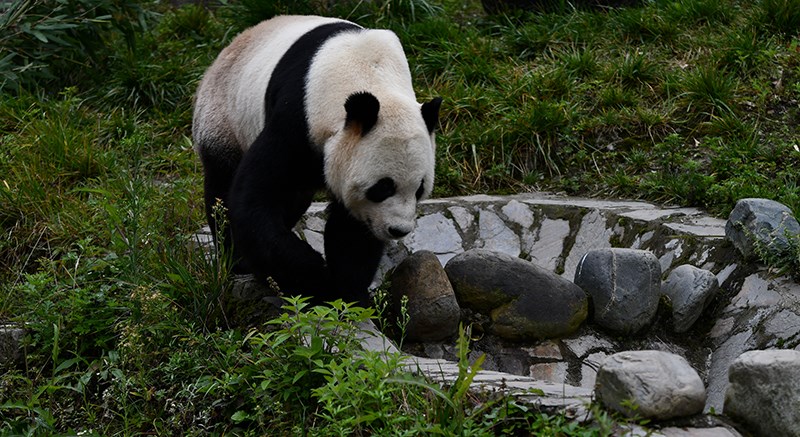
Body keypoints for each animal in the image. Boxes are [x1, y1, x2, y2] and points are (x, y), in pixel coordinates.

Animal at [195, 14, 444, 306]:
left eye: (419, 189)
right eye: (383, 187)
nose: (398, 230)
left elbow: (352, 230)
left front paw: (349, 292)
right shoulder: (297, 118)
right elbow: (254, 201)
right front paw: (317, 278)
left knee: (295, 198)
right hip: (224, 114)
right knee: (221, 186)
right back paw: (237, 260)